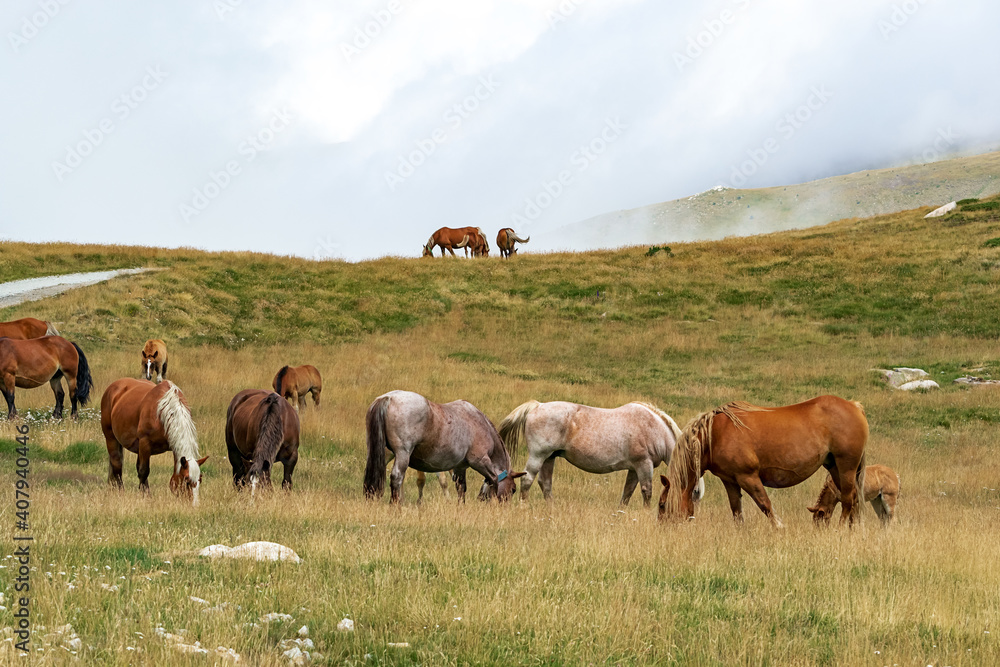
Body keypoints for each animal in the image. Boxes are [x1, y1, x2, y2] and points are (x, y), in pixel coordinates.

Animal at [366, 388, 524, 504]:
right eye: (513, 489)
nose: (504, 506)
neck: (480, 423)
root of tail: (388, 398)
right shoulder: (480, 461)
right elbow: (494, 480)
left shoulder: (460, 467)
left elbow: (461, 488)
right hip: (402, 454)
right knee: (397, 478)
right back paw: (396, 505)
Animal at [498, 402, 704, 506]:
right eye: (695, 492)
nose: (689, 517)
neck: (654, 428)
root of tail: (537, 406)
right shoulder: (643, 465)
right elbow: (647, 491)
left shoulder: (634, 468)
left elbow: (627, 492)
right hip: (538, 455)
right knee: (527, 480)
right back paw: (524, 506)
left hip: (549, 457)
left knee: (545, 483)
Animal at [656, 396, 868, 528]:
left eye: (662, 505)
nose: (662, 528)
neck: (714, 435)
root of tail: (854, 406)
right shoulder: (730, 480)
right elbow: (736, 511)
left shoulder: (748, 477)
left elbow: (765, 505)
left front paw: (779, 528)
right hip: (834, 467)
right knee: (853, 499)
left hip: (846, 467)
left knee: (848, 499)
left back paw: (841, 528)